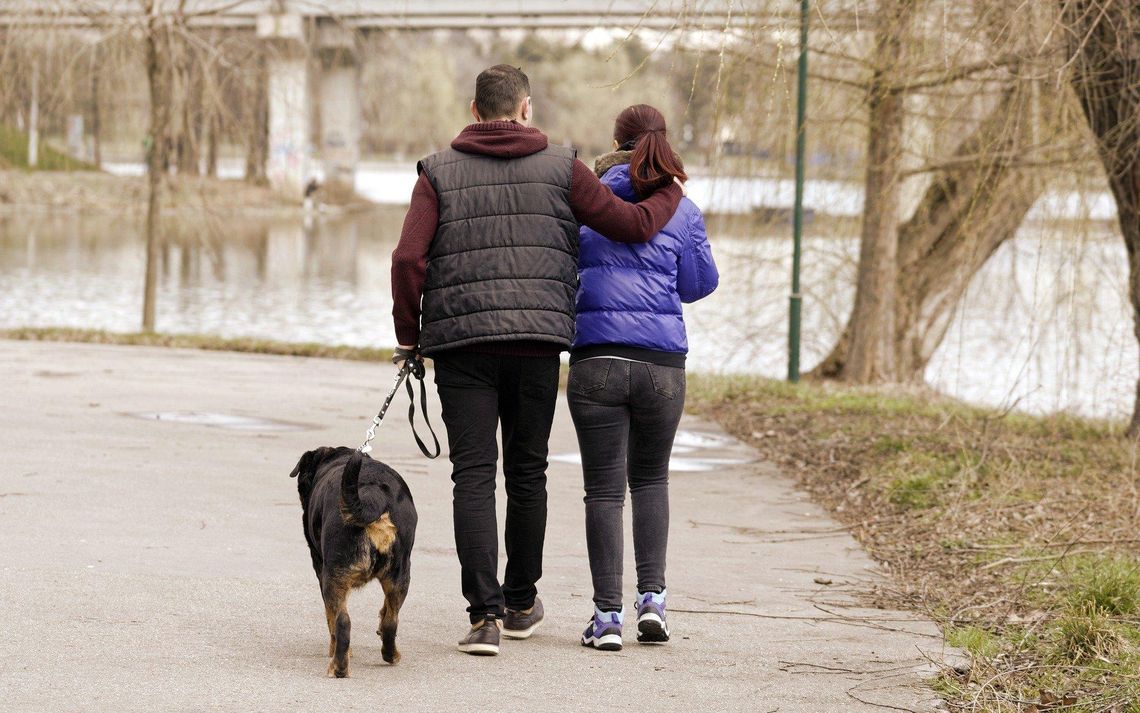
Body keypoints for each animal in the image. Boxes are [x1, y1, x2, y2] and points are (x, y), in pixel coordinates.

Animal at [289, 447, 419, 675]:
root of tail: (374, 493)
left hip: (334, 576)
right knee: (391, 621)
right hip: (400, 574)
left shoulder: (320, 567)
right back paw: (391, 654)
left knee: (342, 623)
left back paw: (339, 666)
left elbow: (330, 620)